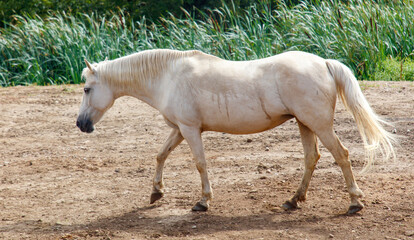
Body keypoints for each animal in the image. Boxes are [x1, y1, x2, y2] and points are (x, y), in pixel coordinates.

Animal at [76, 48, 396, 214]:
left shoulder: (190, 130)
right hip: (305, 124)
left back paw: (355, 202)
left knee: (341, 155)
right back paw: (293, 200)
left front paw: (203, 201)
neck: (168, 76)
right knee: (311, 158)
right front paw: (156, 192)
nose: (81, 124)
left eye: (87, 89)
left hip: (319, 125)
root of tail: (324, 63)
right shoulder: (179, 129)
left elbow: (200, 163)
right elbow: (160, 155)